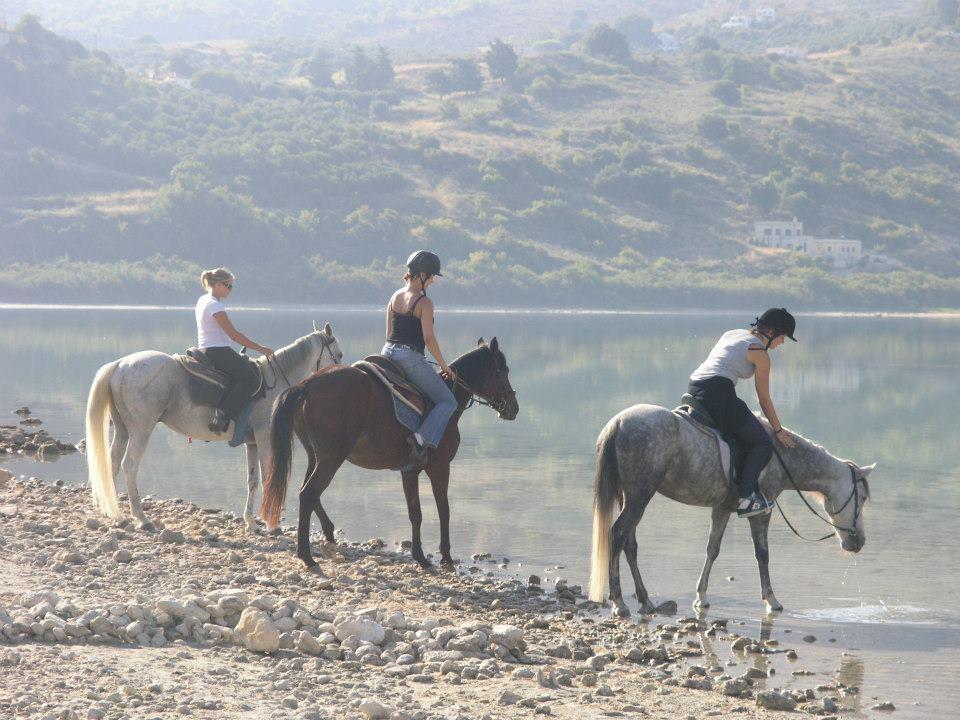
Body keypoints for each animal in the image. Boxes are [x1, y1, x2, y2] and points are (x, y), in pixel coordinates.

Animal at [83, 324, 342, 532]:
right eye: (338, 355)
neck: (274, 383)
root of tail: (120, 364)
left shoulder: (252, 443)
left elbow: (253, 481)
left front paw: (251, 522)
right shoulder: (264, 437)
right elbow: (269, 477)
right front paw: (272, 524)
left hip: (123, 429)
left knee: (112, 464)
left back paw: (117, 516)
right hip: (141, 430)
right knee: (129, 466)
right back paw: (141, 518)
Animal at [258, 338, 516, 568]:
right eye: (503, 371)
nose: (514, 407)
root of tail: (307, 385)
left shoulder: (409, 471)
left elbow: (415, 512)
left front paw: (420, 556)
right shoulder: (440, 467)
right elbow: (444, 511)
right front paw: (445, 557)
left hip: (316, 457)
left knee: (308, 493)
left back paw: (326, 535)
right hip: (331, 459)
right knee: (308, 494)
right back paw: (306, 555)